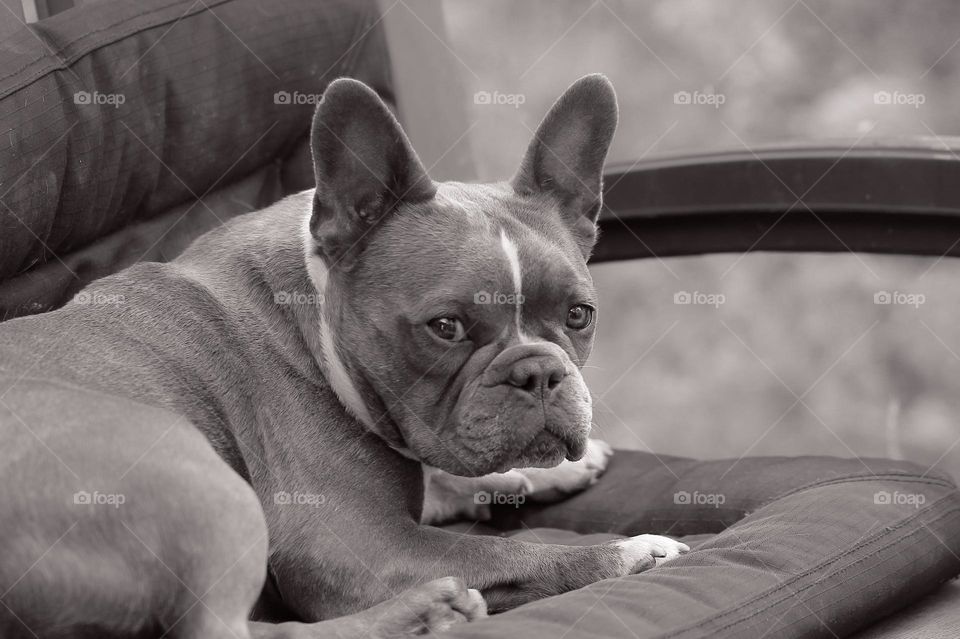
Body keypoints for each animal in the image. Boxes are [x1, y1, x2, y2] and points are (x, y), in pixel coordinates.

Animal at [0, 72, 688, 636]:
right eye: (446, 327)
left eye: (579, 316)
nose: (539, 371)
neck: (313, 313)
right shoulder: (354, 546)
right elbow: (504, 553)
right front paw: (632, 552)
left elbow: (446, 480)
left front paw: (543, 471)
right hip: (202, 486)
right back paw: (427, 611)